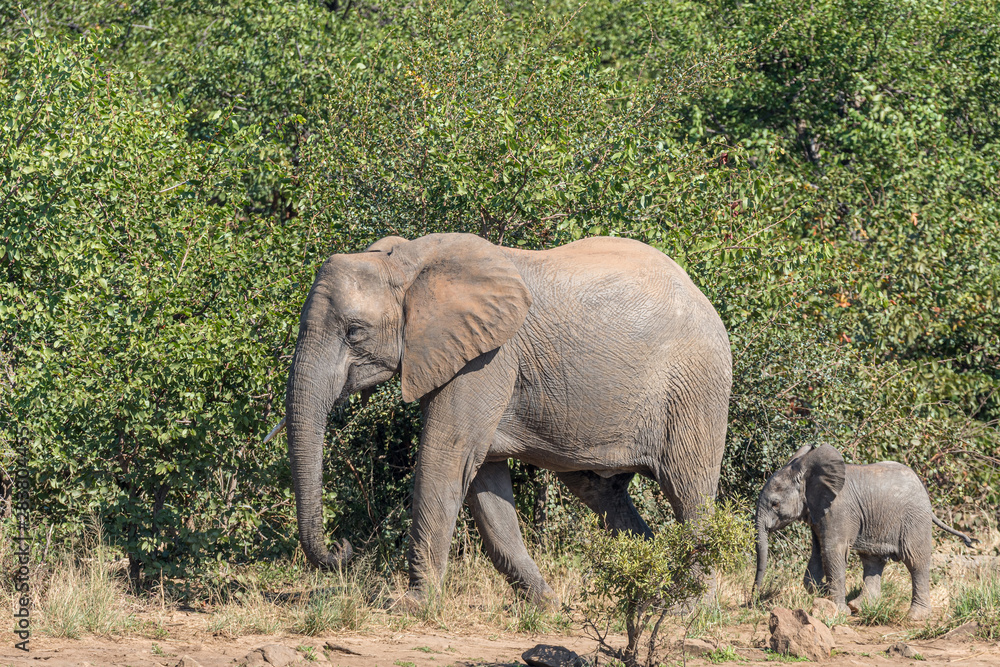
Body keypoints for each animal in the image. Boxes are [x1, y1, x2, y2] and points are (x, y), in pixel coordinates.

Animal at [272, 232, 732, 607]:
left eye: (354, 332)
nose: (342, 549)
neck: (404, 262)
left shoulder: (488, 357)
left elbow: (445, 456)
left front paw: (410, 607)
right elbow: (483, 481)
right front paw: (547, 607)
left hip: (696, 390)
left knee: (690, 493)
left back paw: (688, 607)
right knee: (602, 493)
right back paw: (651, 588)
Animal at [752, 443, 976, 620]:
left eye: (775, 503)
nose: (755, 597)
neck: (807, 472)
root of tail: (923, 488)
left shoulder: (838, 510)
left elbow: (833, 551)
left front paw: (837, 609)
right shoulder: (817, 512)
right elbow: (817, 552)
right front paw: (823, 589)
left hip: (915, 519)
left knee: (915, 561)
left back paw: (915, 617)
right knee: (872, 560)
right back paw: (859, 607)